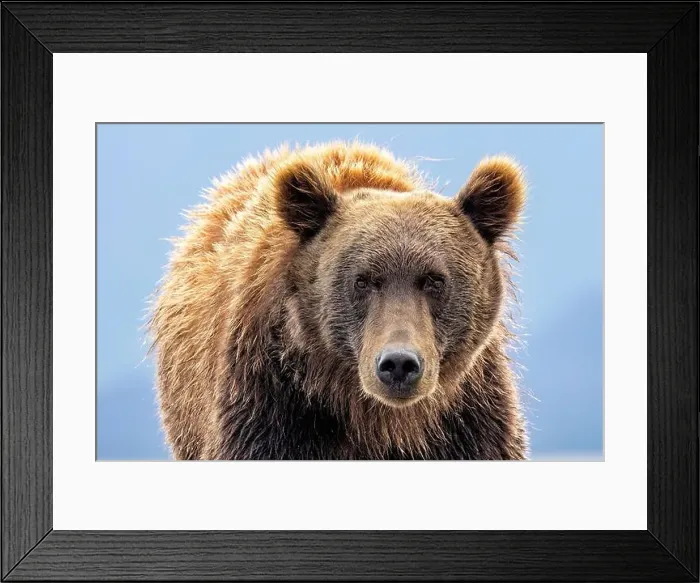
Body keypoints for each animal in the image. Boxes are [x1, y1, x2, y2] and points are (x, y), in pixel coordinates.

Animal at [149, 141, 528, 460]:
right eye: (362, 281)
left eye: (435, 280)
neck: (380, 422)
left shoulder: (469, 421)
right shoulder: (269, 408)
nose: (399, 364)